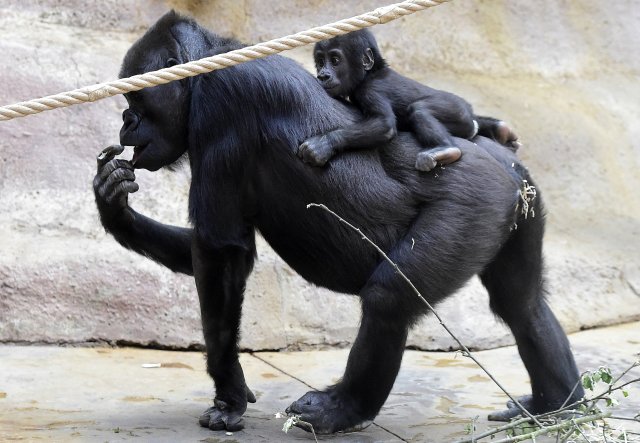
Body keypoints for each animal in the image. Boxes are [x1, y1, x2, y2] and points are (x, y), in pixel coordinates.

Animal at [300, 29, 520, 171]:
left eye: (335, 60)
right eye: (320, 61)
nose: (323, 75)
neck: (369, 74)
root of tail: (470, 117)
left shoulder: (371, 91)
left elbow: (384, 124)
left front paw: (323, 144)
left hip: (456, 109)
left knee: (420, 109)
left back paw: (446, 150)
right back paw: (501, 131)